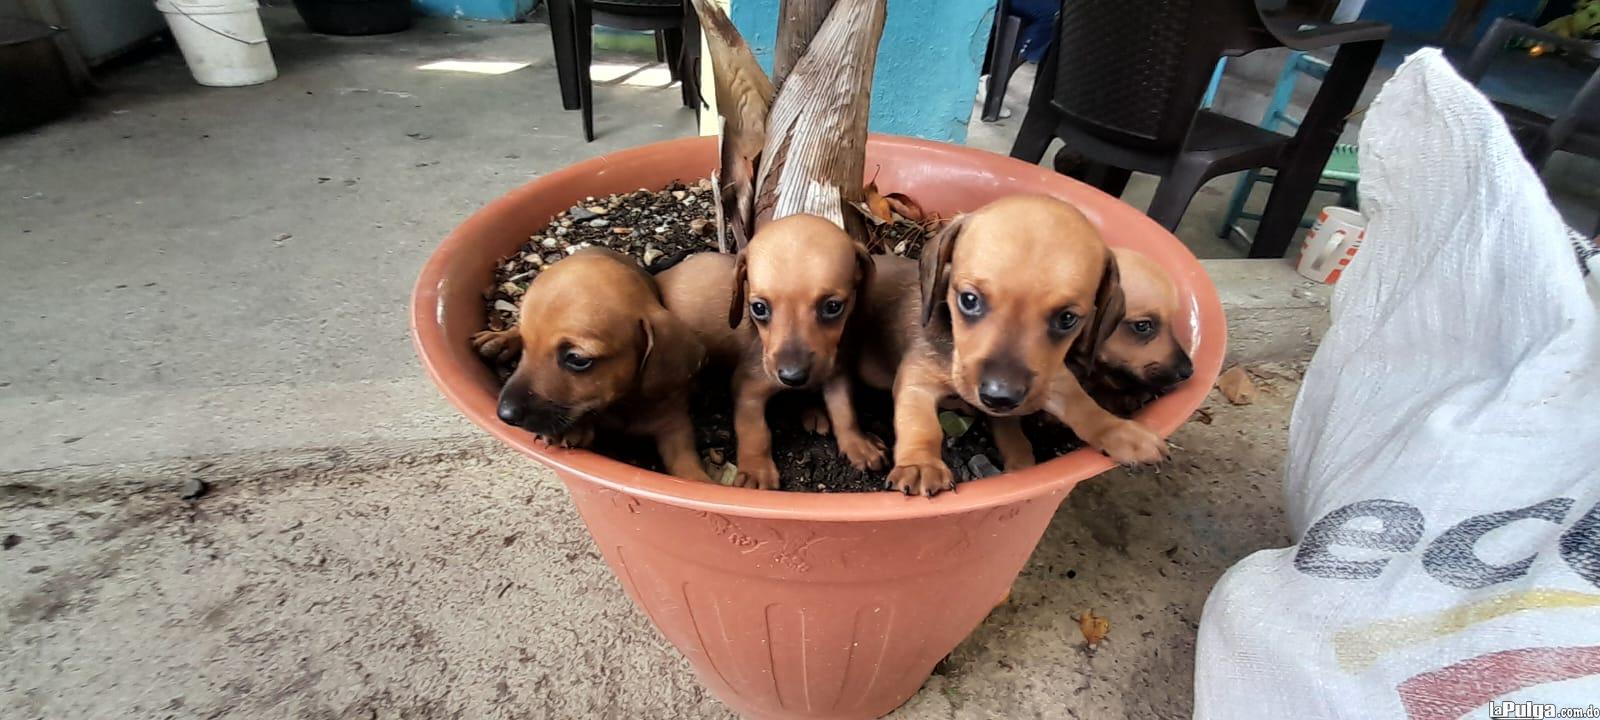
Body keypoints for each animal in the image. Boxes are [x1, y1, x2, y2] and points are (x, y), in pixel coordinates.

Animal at [467, 249, 707, 480]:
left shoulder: (674, 425)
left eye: (577, 359)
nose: (504, 415)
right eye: (527, 346)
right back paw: (499, 340)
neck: (625, 403)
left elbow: (687, 468)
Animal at [659, 214, 889, 489]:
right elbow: (755, 431)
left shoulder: (835, 371)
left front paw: (858, 444)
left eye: (833, 307)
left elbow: (844, 410)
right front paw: (756, 470)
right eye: (758, 308)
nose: (792, 377)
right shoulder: (748, 387)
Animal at [870, 194, 1171, 499]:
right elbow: (920, 424)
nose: (999, 397)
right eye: (969, 299)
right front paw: (921, 464)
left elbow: (1083, 406)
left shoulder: (1053, 378)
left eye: (1067, 319)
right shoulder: (917, 381)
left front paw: (1120, 432)